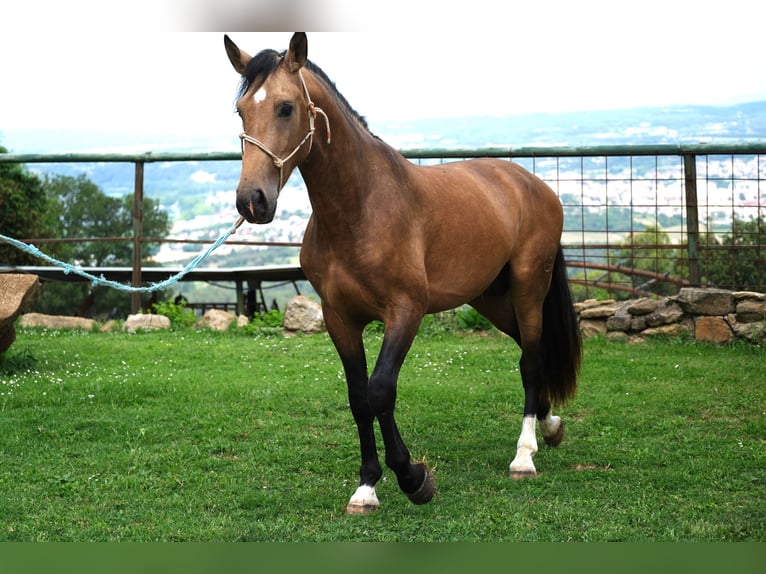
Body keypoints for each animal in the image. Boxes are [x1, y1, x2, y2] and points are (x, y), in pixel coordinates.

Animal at [225, 32, 584, 516]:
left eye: (285, 107)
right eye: (241, 110)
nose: (252, 200)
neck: (361, 209)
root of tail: (533, 185)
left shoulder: (405, 312)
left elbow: (380, 390)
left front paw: (414, 478)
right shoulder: (340, 319)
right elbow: (358, 398)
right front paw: (366, 487)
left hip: (529, 288)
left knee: (529, 359)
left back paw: (524, 454)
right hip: (491, 298)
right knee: (537, 351)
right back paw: (550, 426)